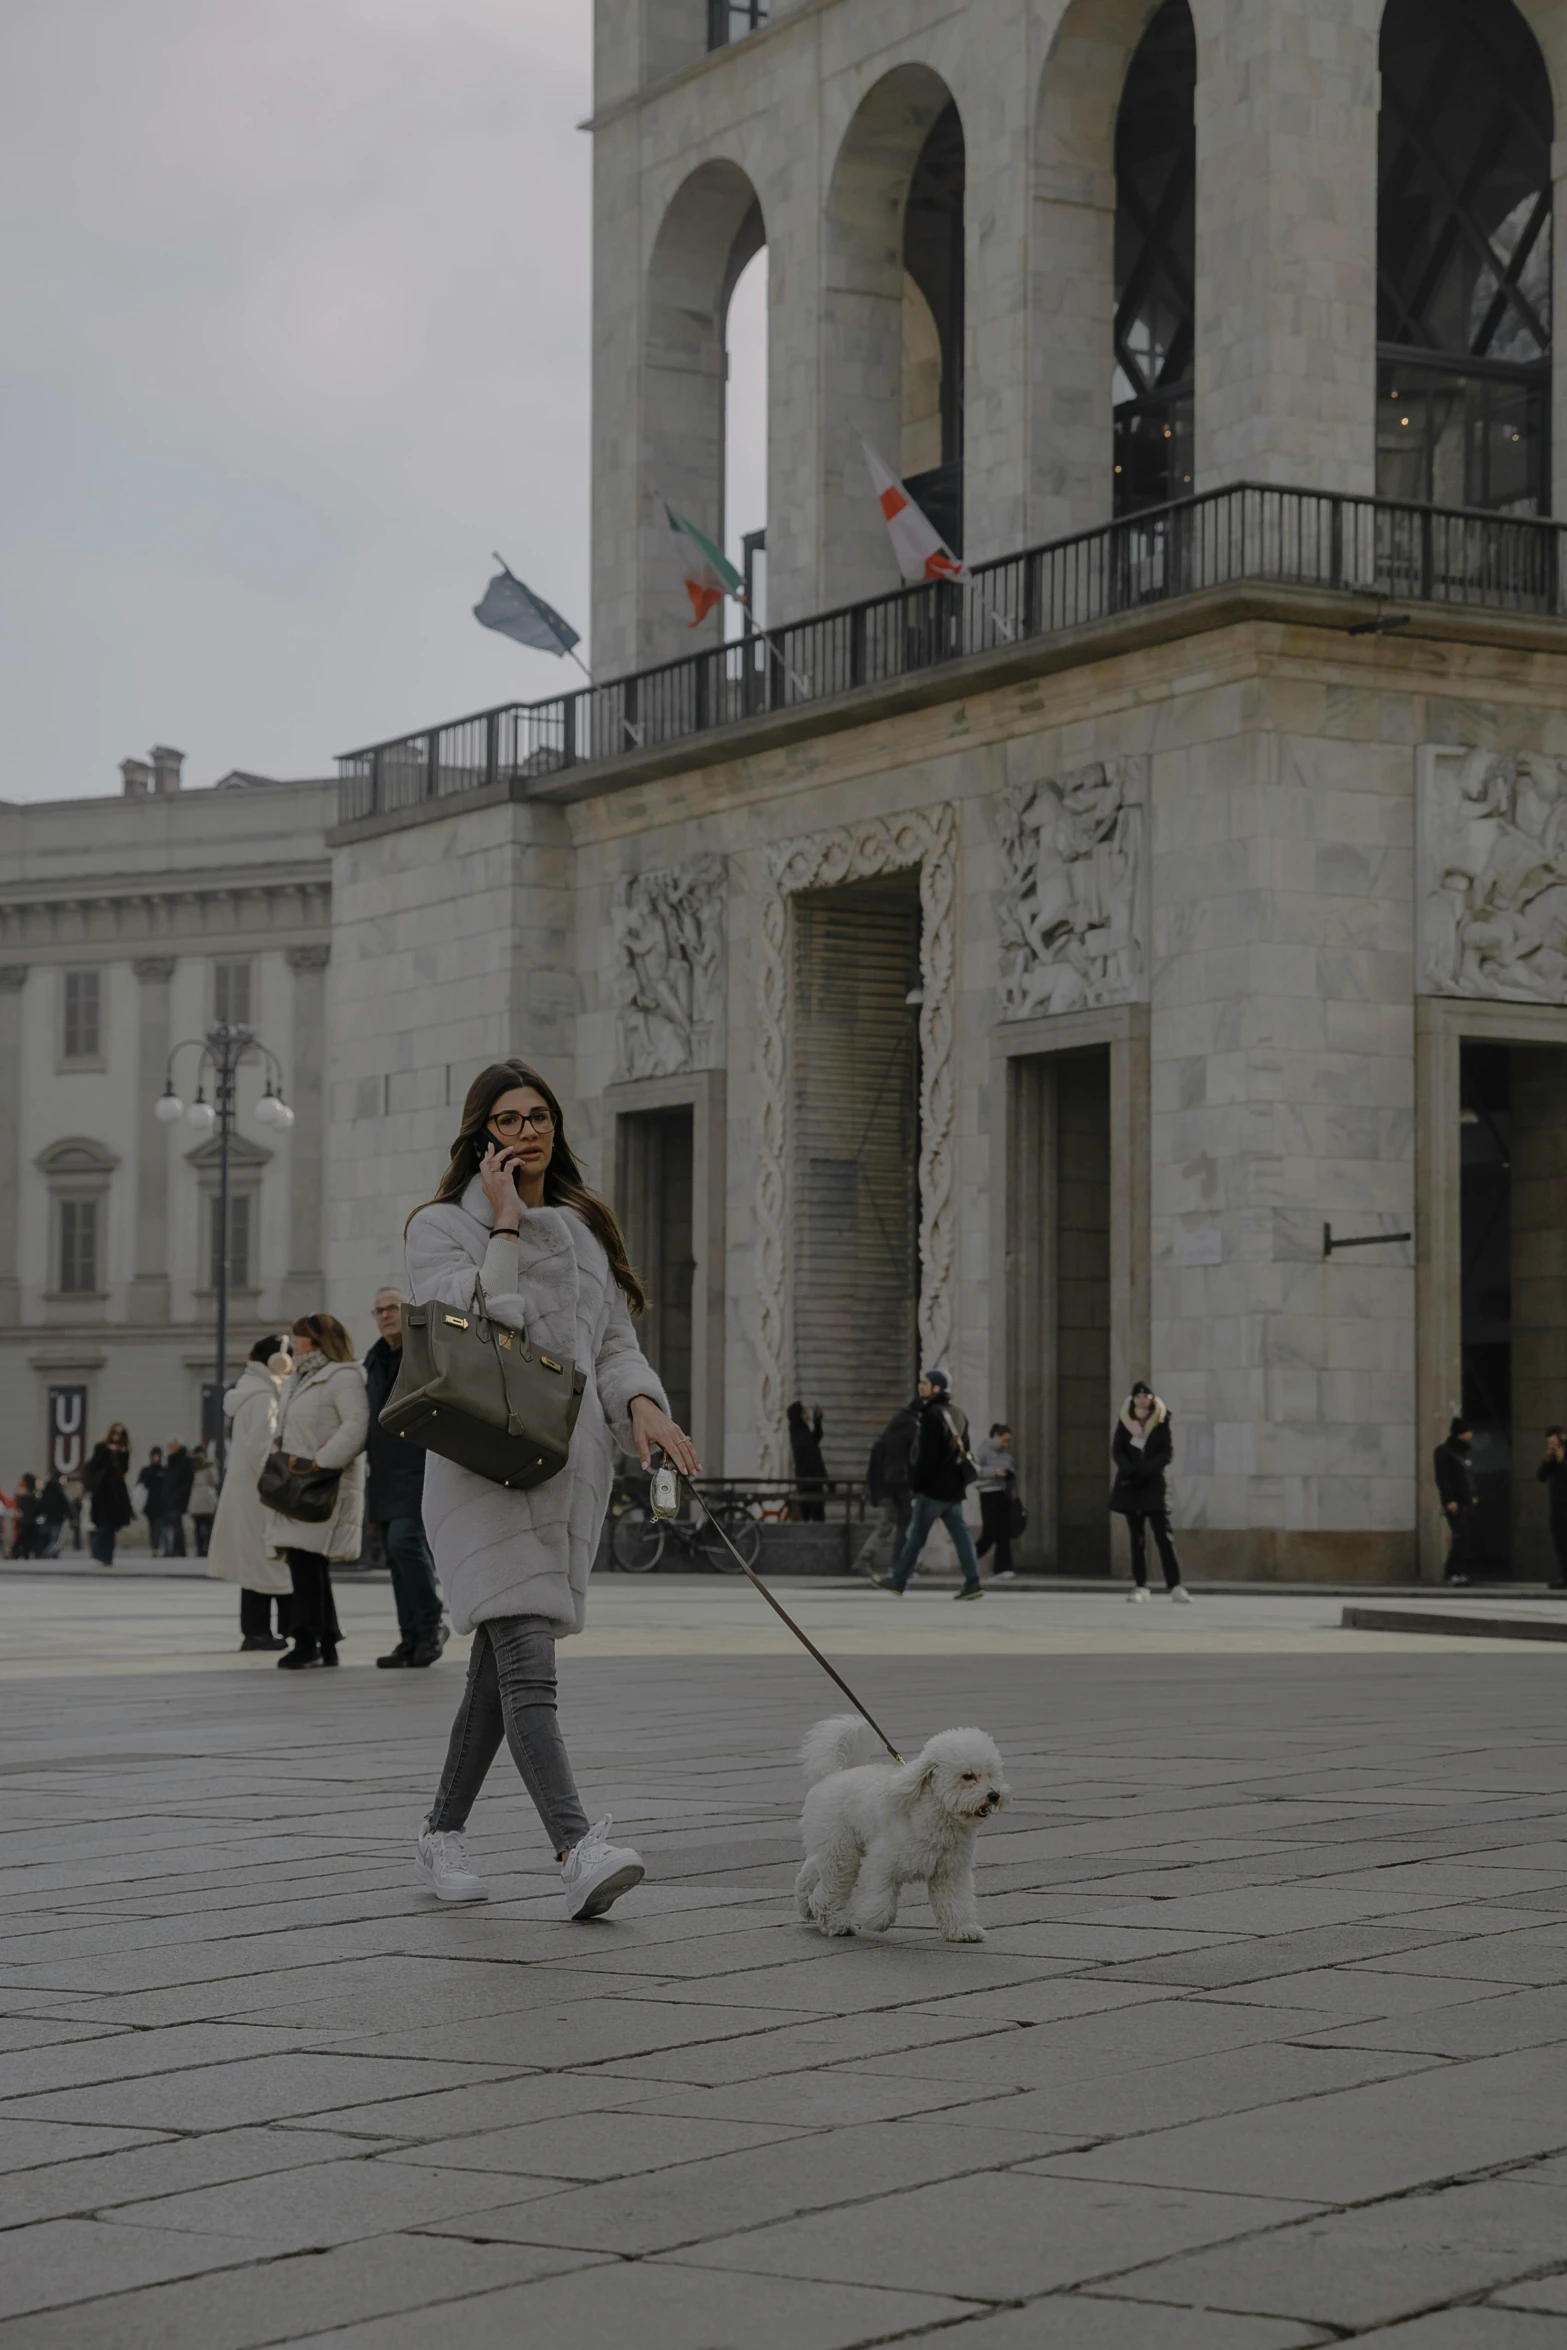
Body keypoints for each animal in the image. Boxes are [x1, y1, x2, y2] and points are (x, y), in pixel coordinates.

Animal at [798, 1710, 1005, 1945]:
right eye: (968, 1776)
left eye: (991, 1774)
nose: (994, 1795)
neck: (936, 1814)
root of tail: (831, 1775)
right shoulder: (882, 1862)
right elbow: (880, 1903)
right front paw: (871, 1919)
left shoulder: (951, 1870)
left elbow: (955, 1903)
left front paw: (962, 1930)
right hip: (842, 1853)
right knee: (828, 1891)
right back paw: (834, 1922)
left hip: (832, 1846)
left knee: (812, 1869)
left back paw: (806, 1905)